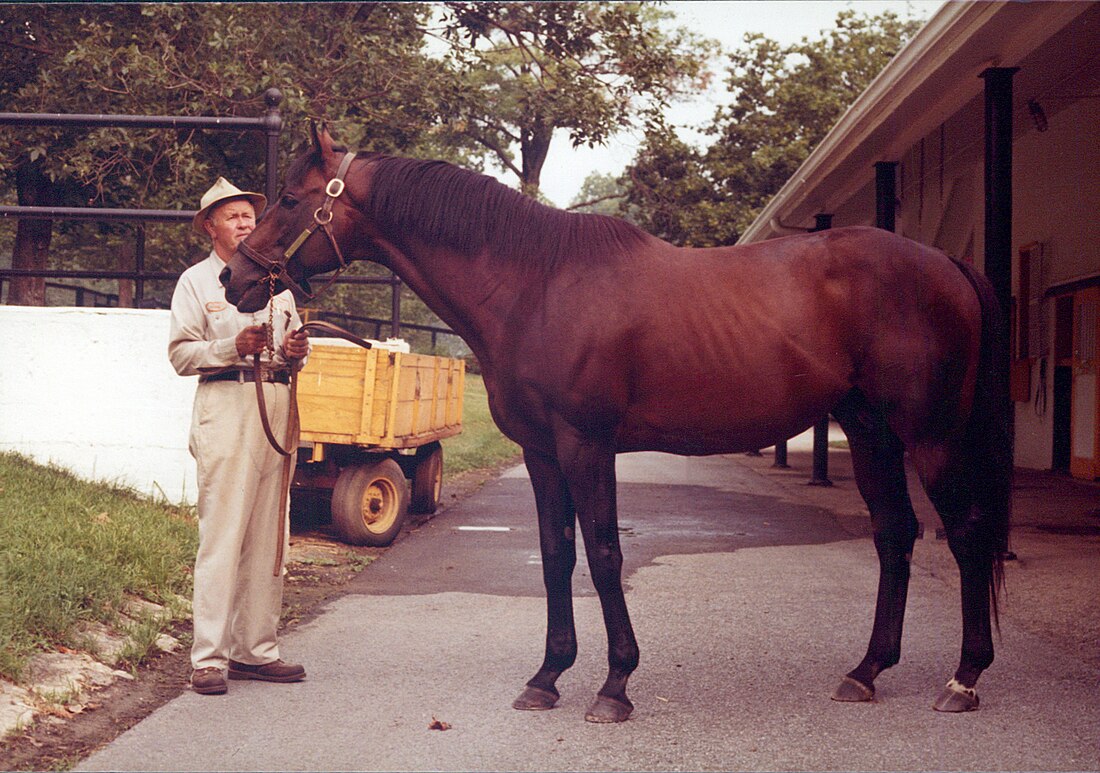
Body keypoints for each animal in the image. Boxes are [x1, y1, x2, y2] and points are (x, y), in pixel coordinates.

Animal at [218, 124, 1007, 721]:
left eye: (290, 198)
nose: (234, 277)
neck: (536, 285)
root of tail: (946, 262)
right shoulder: (542, 452)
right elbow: (555, 554)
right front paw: (547, 677)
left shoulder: (586, 445)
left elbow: (602, 552)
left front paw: (614, 684)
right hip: (871, 430)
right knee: (896, 534)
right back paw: (867, 670)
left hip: (929, 436)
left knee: (965, 532)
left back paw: (963, 679)